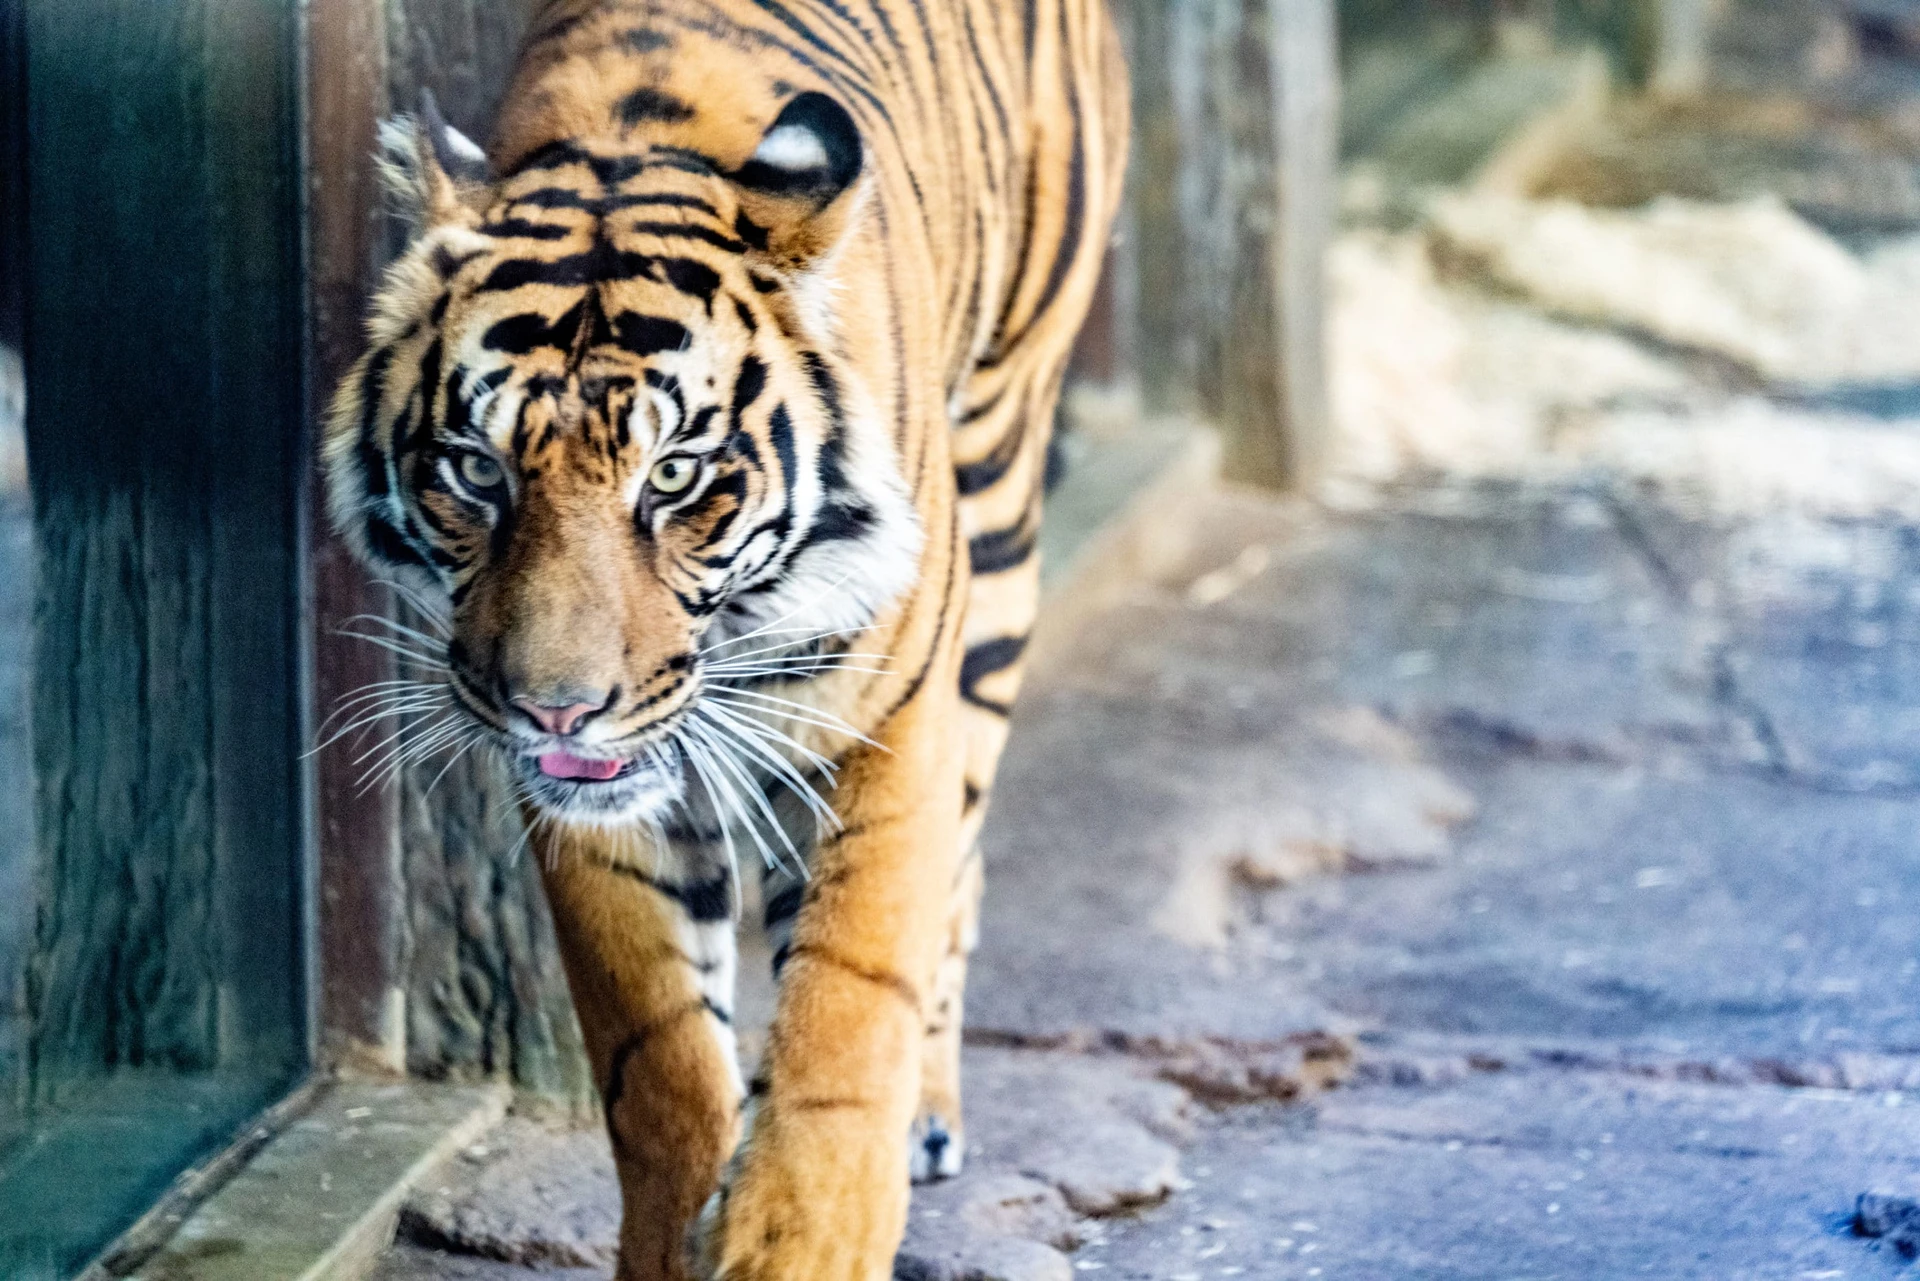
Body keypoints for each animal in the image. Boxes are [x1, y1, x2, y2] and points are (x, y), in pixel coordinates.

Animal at [323, 0, 1127, 1276]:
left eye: (675, 475)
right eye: (477, 471)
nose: (553, 706)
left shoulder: (888, 722)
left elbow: (847, 1018)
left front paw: (803, 1235)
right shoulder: (598, 805)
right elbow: (661, 1062)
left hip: (1003, 481)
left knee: (964, 855)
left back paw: (930, 1110)